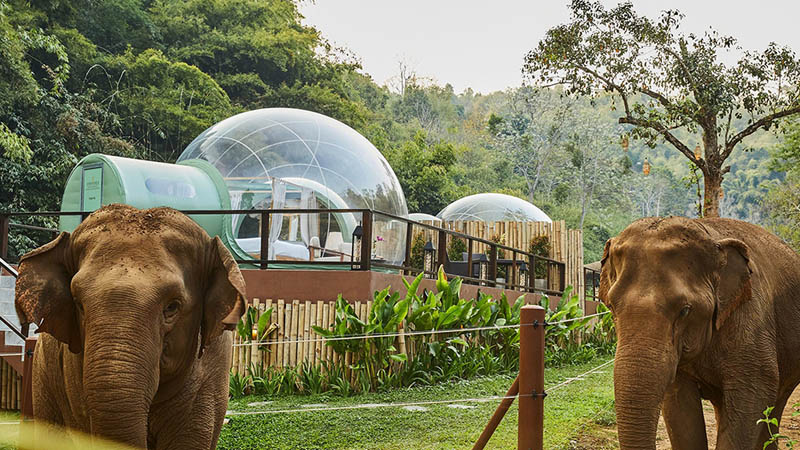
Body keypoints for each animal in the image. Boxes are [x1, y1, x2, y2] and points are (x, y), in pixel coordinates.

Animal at [604, 216, 800, 448]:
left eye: (685, 310)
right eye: (611, 307)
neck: (710, 235)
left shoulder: (751, 317)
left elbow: (753, 392)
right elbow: (680, 407)